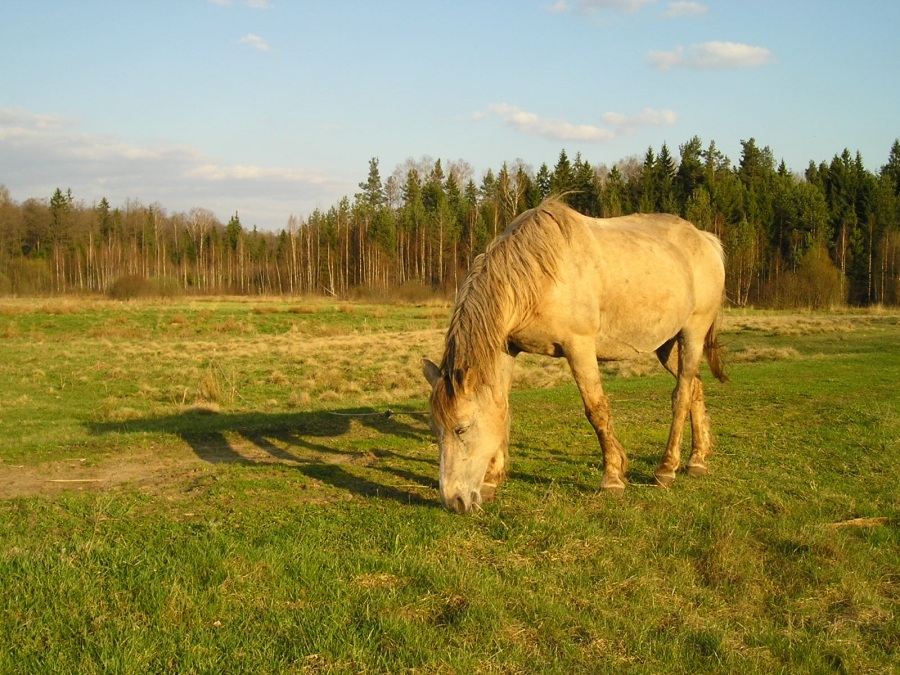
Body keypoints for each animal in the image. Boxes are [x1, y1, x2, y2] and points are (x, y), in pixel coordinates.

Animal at [422, 198, 724, 516]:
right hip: (668, 346)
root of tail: (705, 240)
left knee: (681, 396)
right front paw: (492, 479)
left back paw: (667, 469)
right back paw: (697, 460)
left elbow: (596, 410)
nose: (453, 501)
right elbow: (501, 408)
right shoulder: (506, 348)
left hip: (692, 334)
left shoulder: (579, 347)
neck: (539, 274)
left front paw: (613, 478)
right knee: (695, 387)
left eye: (462, 428)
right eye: (434, 428)